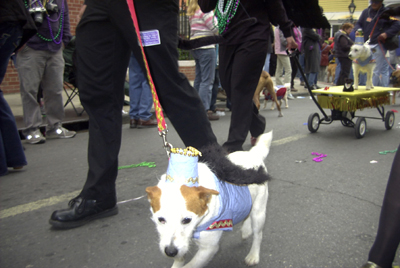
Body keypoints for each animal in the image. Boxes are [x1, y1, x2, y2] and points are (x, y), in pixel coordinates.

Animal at [145, 131, 274, 266]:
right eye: (160, 219)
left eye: (187, 220)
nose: (170, 252)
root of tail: (252, 154)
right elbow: (179, 260)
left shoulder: (208, 248)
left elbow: (191, 265)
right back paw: (246, 231)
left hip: (259, 212)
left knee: (258, 234)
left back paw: (253, 255)